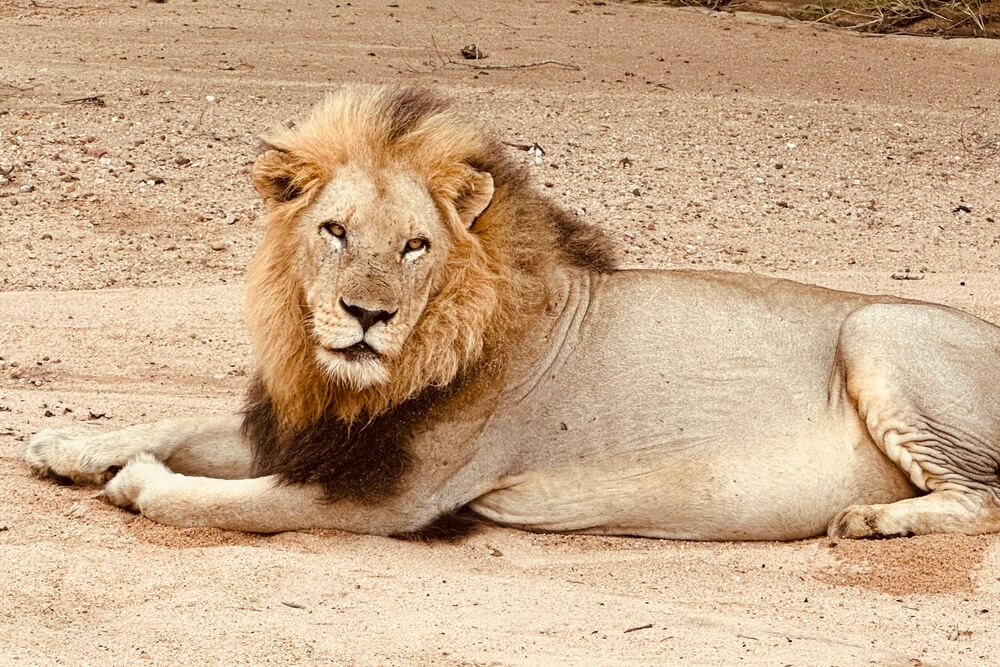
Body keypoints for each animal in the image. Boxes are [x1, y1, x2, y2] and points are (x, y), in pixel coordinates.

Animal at [25, 84, 1000, 540]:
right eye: (336, 230)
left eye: (415, 246)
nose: (365, 316)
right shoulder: (316, 434)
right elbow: (176, 419)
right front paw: (63, 443)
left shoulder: (392, 495)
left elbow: (213, 501)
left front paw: (136, 480)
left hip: (878, 329)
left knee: (985, 497)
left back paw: (875, 519)